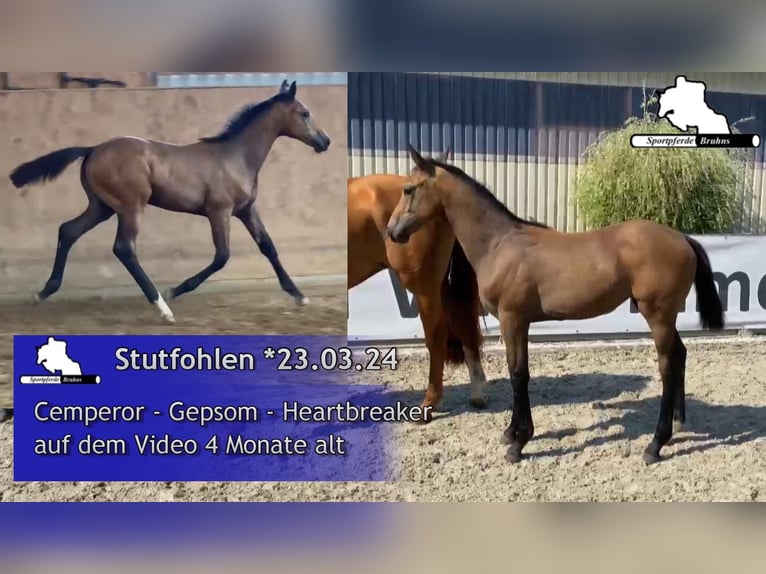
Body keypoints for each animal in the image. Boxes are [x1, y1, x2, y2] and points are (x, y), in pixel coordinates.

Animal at [9, 80, 332, 324]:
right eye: (304, 113)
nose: (325, 141)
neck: (236, 157)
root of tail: (92, 149)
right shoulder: (219, 211)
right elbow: (222, 256)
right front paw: (175, 290)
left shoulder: (246, 210)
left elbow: (268, 247)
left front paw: (299, 295)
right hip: (130, 207)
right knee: (124, 248)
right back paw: (163, 307)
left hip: (101, 207)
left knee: (68, 231)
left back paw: (42, 292)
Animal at [352, 153, 488, 418]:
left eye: (409, 191)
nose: (393, 231)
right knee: (463, 327)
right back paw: (477, 395)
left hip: (424, 286)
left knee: (437, 334)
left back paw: (429, 404)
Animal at [390, 146, 728, 466]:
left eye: (408, 189)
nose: (393, 232)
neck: (500, 244)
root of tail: (683, 239)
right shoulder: (518, 322)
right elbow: (517, 371)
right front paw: (510, 432)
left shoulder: (512, 319)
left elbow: (518, 373)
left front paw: (519, 443)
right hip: (666, 317)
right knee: (680, 355)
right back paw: (679, 422)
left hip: (657, 315)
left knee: (667, 365)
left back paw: (656, 444)